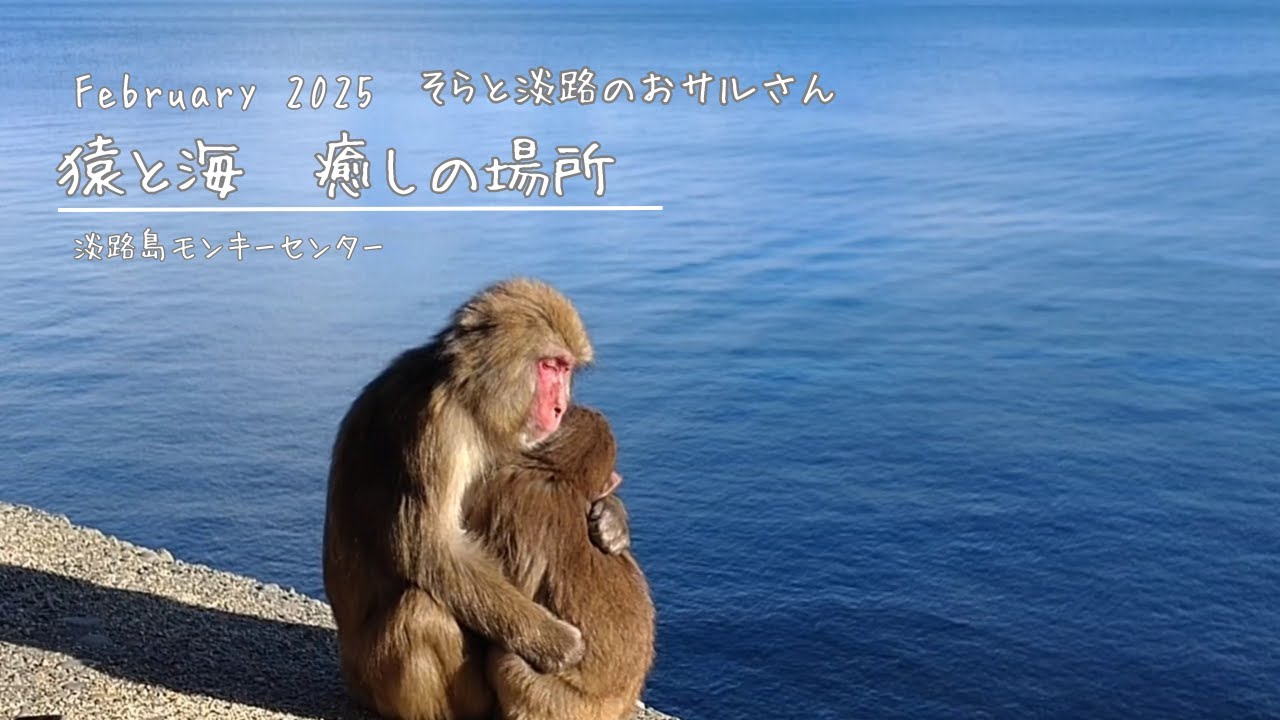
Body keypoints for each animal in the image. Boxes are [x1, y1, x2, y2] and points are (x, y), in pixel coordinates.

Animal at [323, 279, 631, 720]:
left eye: (565, 369)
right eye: (549, 366)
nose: (560, 406)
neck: (468, 395)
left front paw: (612, 518)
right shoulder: (435, 424)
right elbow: (427, 547)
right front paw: (554, 643)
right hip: (374, 681)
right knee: (421, 614)